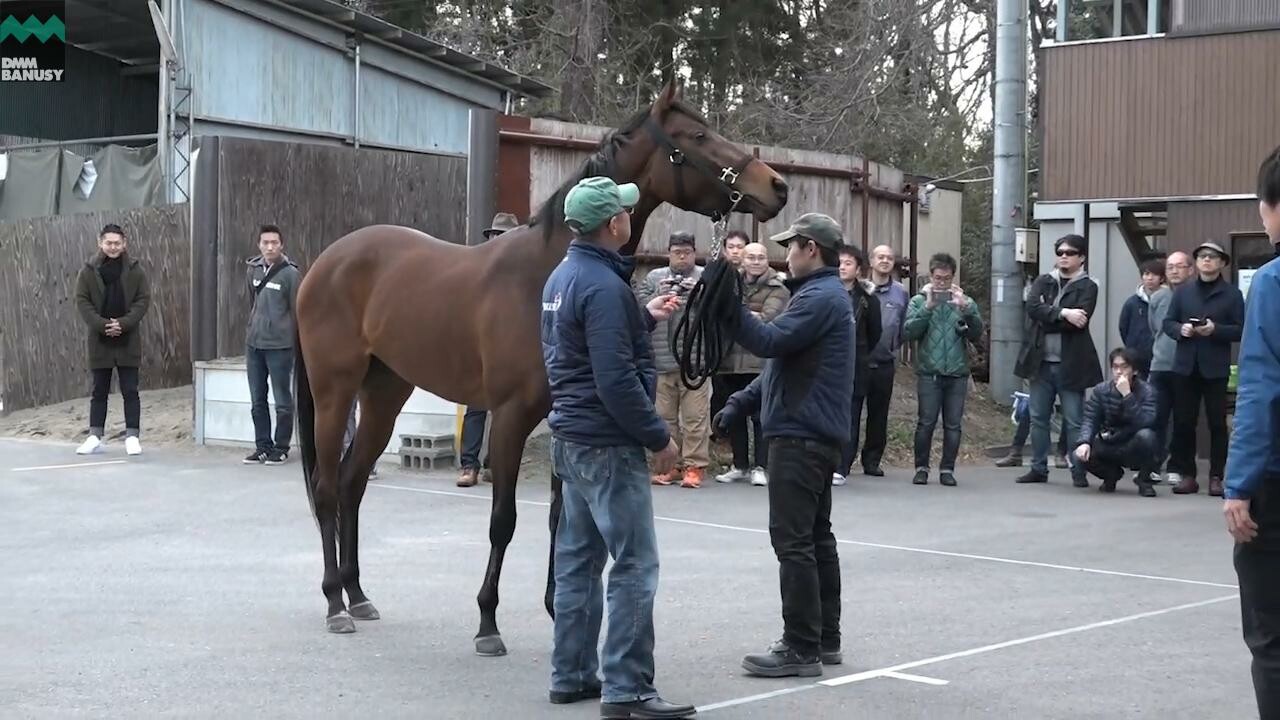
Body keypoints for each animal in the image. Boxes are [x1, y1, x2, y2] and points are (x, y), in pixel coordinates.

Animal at [293, 81, 788, 653]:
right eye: (698, 136)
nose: (777, 186)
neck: (548, 272)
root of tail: (324, 262)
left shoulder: (562, 417)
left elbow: (560, 516)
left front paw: (559, 608)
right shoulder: (509, 418)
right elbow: (503, 520)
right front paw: (488, 622)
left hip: (384, 394)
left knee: (353, 483)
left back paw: (358, 594)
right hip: (334, 392)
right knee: (327, 488)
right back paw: (335, 602)